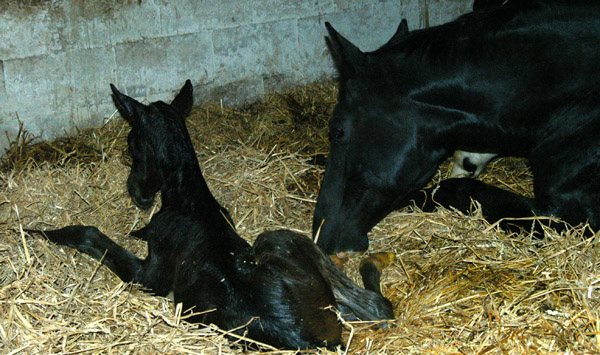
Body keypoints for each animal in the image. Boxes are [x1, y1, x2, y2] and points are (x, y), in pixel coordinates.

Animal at [30, 80, 394, 350]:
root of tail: (306, 338)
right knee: (375, 308)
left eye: (132, 143)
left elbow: (91, 236)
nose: (137, 192)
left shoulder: (150, 277)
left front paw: (38, 232)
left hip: (274, 238)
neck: (190, 202)